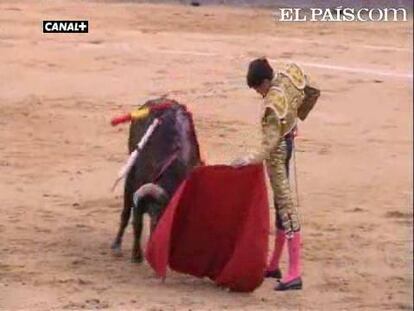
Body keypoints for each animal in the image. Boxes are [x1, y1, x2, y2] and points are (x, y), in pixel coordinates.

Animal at [110, 100, 201, 264]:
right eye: (158, 223)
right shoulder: (138, 192)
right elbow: (137, 224)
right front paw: (137, 256)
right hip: (130, 176)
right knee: (125, 212)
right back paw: (116, 245)